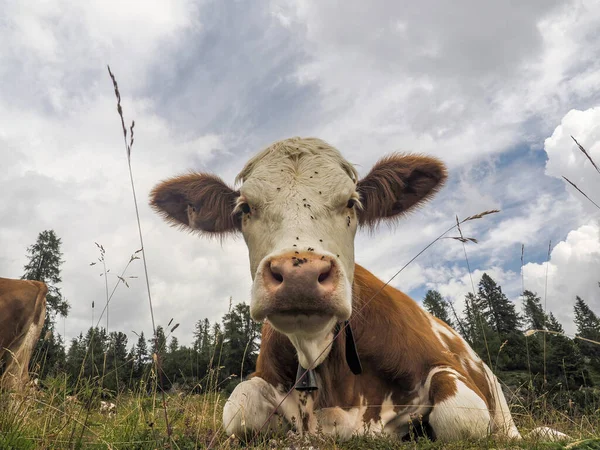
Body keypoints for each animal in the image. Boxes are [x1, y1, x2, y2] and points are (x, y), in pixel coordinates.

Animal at [150, 138, 564, 442]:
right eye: (245, 208)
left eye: (351, 202)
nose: (301, 275)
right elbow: (238, 408)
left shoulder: (444, 369)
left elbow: (461, 419)